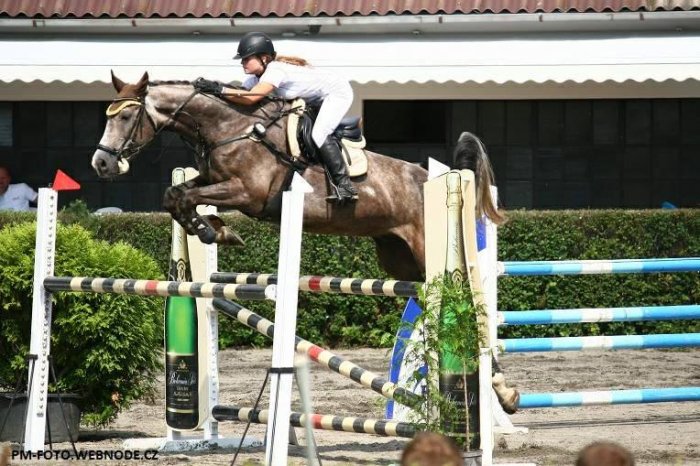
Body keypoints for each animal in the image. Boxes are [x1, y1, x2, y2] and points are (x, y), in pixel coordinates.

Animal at [91, 72, 518, 413]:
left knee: (470, 305)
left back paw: (503, 391)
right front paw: (214, 228)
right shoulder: (213, 181)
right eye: (108, 116)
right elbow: (175, 195)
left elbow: (185, 197)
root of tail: (441, 178)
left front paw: (215, 230)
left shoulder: (247, 192)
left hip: (427, 250)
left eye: (126, 117)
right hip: (401, 260)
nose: (102, 164)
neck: (229, 128)